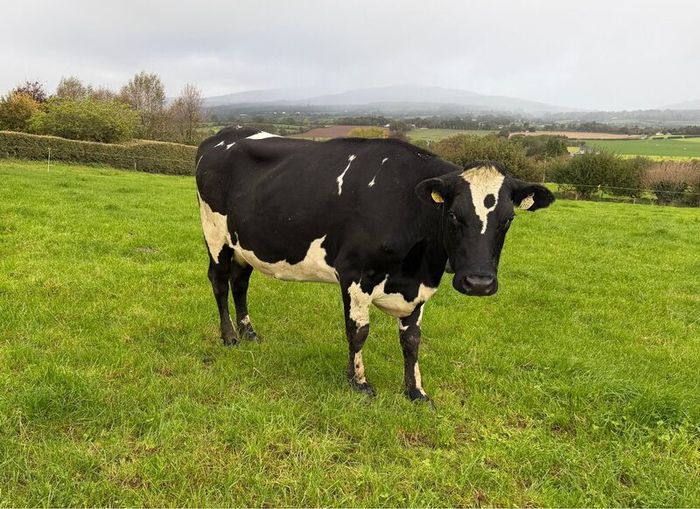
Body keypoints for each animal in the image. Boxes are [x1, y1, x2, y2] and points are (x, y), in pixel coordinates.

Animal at [195, 126, 554, 401]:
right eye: (453, 214)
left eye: (508, 220)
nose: (478, 283)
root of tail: (221, 135)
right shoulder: (355, 274)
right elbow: (358, 331)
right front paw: (359, 382)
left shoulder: (418, 288)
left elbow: (412, 340)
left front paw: (416, 392)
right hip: (215, 235)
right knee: (220, 281)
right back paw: (229, 336)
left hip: (244, 244)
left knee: (240, 282)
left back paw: (249, 333)